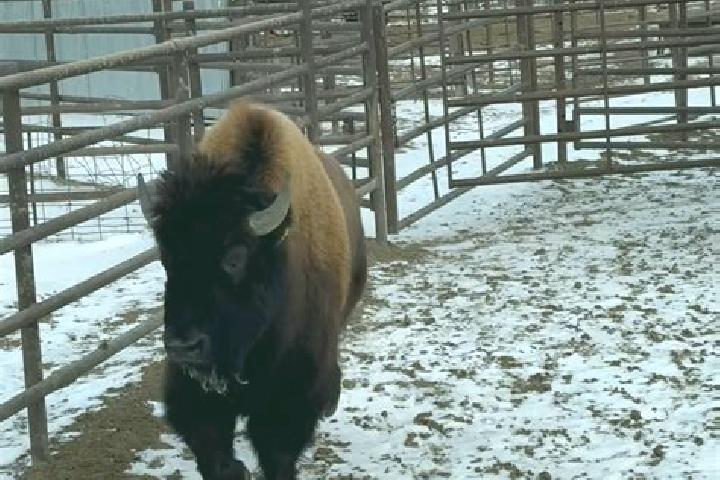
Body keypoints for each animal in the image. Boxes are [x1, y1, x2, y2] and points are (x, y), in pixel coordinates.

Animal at [136, 101, 367, 480]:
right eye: (167, 257)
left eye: (235, 258)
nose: (184, 346)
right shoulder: (194, 393)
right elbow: (212, 449)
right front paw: (235, 468)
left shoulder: (289, 396)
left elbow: (277, 453)